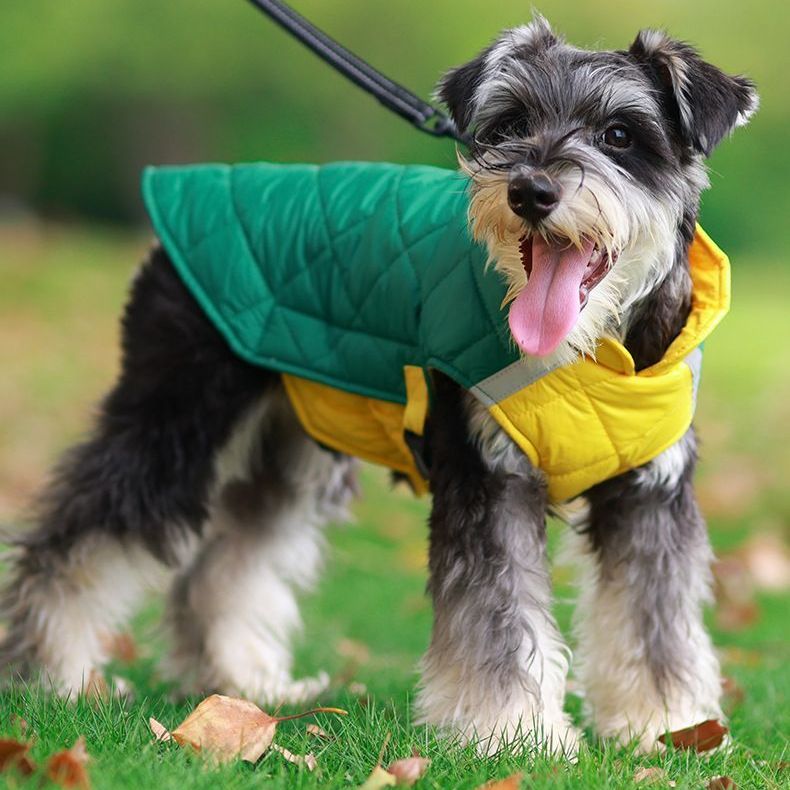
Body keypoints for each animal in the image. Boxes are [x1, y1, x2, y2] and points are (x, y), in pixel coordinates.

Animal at [0, 17, 760, 760]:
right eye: (511, 124)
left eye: (620, 135)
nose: (531, 192)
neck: (601, 353)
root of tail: (186, 193)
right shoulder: (487, 479)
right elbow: (500, 615)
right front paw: (511, 734)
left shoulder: (650, 493)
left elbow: (654, 619)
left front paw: (665, 723)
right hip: (174, 420)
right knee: (77, 540)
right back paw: (53, 670)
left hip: (289, 450)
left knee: (225, 564)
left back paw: (241, 683)